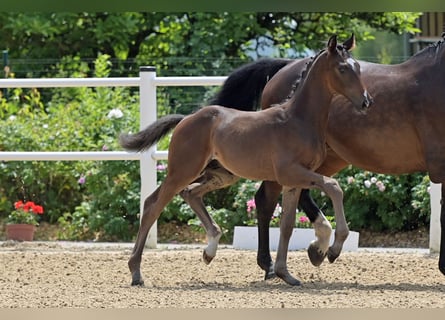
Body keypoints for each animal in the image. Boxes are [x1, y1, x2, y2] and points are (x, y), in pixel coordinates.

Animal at [119, 35, 372, 288]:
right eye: (342, 68)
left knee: (188, 193)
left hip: (221, 175)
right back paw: (136, 272)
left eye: (358, 68)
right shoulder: (291, 172)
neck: (298, 120)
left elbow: (287, 225)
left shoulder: (293, 181)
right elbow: (334, 186)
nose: (366, 102)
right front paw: (333, 250)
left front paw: (285, 273)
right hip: (182, 170)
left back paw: (209, 250)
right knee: (153, 205)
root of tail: (186, 119)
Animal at [182, 31, 444, 278]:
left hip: (326, 159)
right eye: (343, 69)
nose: (367, 102)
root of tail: (284, 67)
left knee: (300, 194)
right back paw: (275, 263)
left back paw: (316, 248)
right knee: (267, 200)